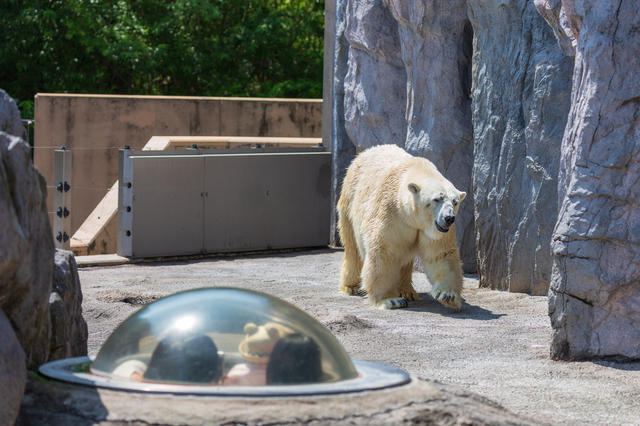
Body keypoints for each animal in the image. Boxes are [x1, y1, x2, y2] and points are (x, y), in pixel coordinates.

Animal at [338, 146, 468, 310]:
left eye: (455, 201)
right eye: (437, 199)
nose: (449, 218)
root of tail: (363, 153)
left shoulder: (433, 229)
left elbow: (441, 254)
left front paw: (447, 295)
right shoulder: (390, 213)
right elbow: (384, 250)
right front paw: (391, 300)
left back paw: (407, 291)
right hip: (349, 199)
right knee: (352, 248)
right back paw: (351, 286)